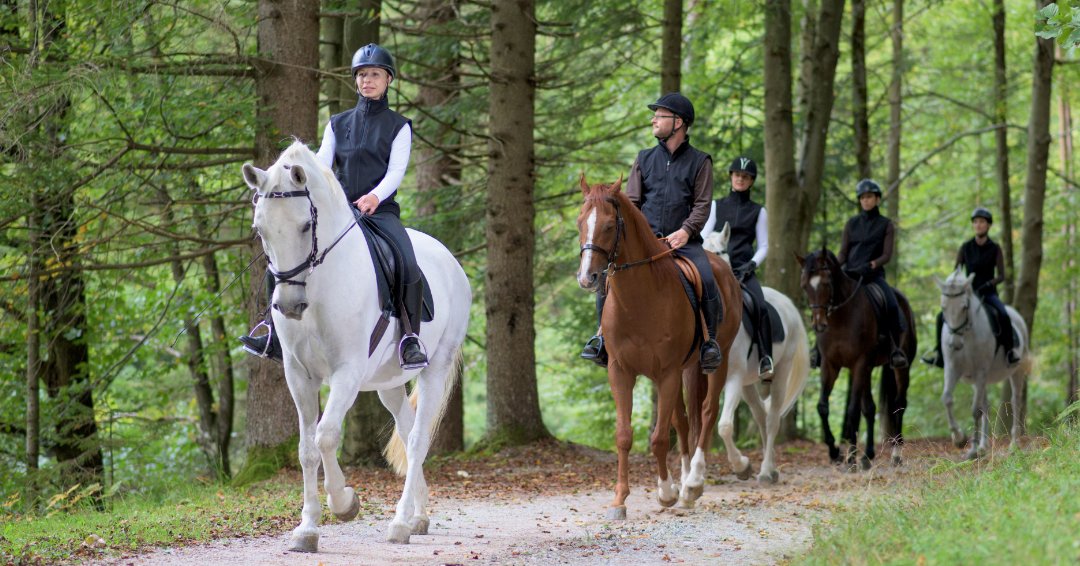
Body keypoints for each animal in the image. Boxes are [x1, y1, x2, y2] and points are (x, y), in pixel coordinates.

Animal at [241, 141, 471, 550]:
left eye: (305, 225)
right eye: (260, 228)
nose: (289, 306)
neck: (319, 286)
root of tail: (451, 262)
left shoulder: (345, 373)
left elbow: (326, 436)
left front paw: (345, 502)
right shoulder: (298, 375)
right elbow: (306, 449)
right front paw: (307, 529)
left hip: (435, 367)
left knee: (417, 439)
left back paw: (400, 523)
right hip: (388, 383)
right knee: (407, 430)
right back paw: (418, 516)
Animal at [576, 175, 741, 519]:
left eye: (609, 225)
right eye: (580, 222)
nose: (587, 278)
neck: (640, 298)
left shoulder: (666, 373)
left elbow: (659, 438)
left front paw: (666, 493)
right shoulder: (621, 371)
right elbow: (625, 436)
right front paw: (620, 500)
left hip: (716, 362)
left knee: (707, 412)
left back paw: (693, 484)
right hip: (685, 370)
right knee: (684, 419)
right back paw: (685, 482)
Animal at [704, 223, 810, 484]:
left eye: (720, 252)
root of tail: (788, 304)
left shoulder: (732, 378)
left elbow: (724, 426)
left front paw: (742, 466)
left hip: (780, 373)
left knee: (772, 419)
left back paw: (765, 471)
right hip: (747, 384)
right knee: (761, 416)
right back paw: (770, 469)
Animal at [796, 248, 913, 471]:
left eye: (826, 283)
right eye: (804, 285)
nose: (819, 325)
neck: (841, 316)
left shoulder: (859, 363)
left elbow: (852, 410)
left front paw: (851, 459)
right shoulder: (830, 365)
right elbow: (823, 407)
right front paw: (836, 453)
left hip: (900, 367)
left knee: (899, 404)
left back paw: (896, 455)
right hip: (868, 369)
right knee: (870, 408)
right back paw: (866, 455)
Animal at [935, 268, 1030, 459]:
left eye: (964, 307)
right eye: (943, 307)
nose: (955, 344)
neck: (967, 336)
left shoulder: (980, 371)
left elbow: (975, 410)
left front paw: (971, 450)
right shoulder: (952, 370)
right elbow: (947, 398)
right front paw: (959, 439)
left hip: (1015, 371)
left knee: (1015, 401)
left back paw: (1013, 444)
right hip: (981, 380)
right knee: (986, 405)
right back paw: (983, 446)